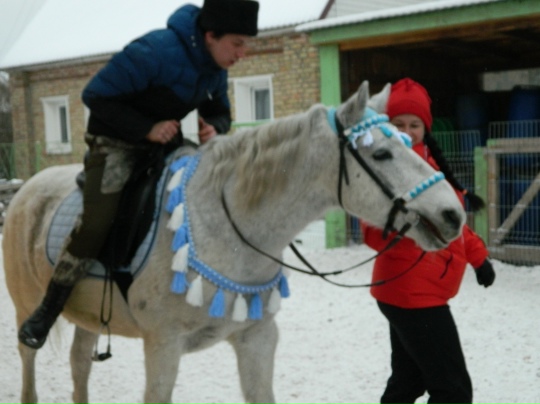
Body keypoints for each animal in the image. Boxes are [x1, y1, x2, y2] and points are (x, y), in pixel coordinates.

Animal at [2, 81, 466, 404]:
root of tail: (26, 189)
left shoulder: (256, 339)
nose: (453, 214)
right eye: (382, 154)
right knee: (30, 369)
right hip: (28, 307)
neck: (225, 227)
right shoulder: (163, 345)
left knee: (79, 366)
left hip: (87, 318)